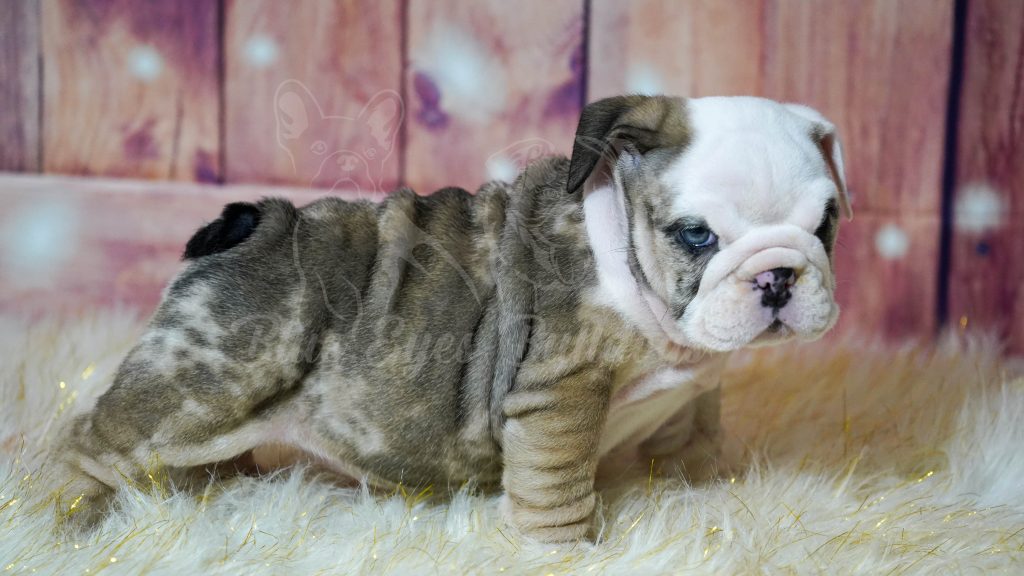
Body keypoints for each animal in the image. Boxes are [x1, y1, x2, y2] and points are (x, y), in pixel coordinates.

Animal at [51, 94, 847, 537]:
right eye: (695, 235)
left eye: (828, 222)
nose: (777, 274)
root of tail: (257, 221)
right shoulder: (558, 393)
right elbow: (555, 486)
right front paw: (563, 550)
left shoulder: (692, 388)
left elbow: (695, 431)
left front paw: (704, 487)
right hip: (194, 390)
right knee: (91, 438)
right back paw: (73, 510)